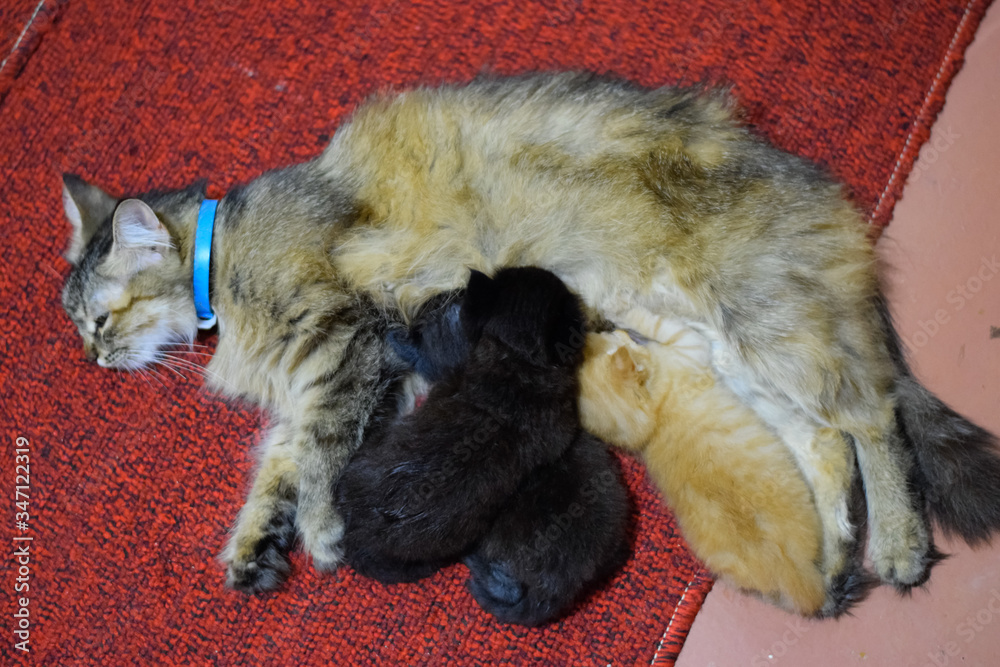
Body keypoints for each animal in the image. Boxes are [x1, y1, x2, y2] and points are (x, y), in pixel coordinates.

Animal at [580, 316, 876, 620]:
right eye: (620, 340)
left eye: (610, 338)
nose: (618, 331)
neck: (654, 422)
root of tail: (797, 577)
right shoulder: (689, 346)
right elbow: (659, 323)